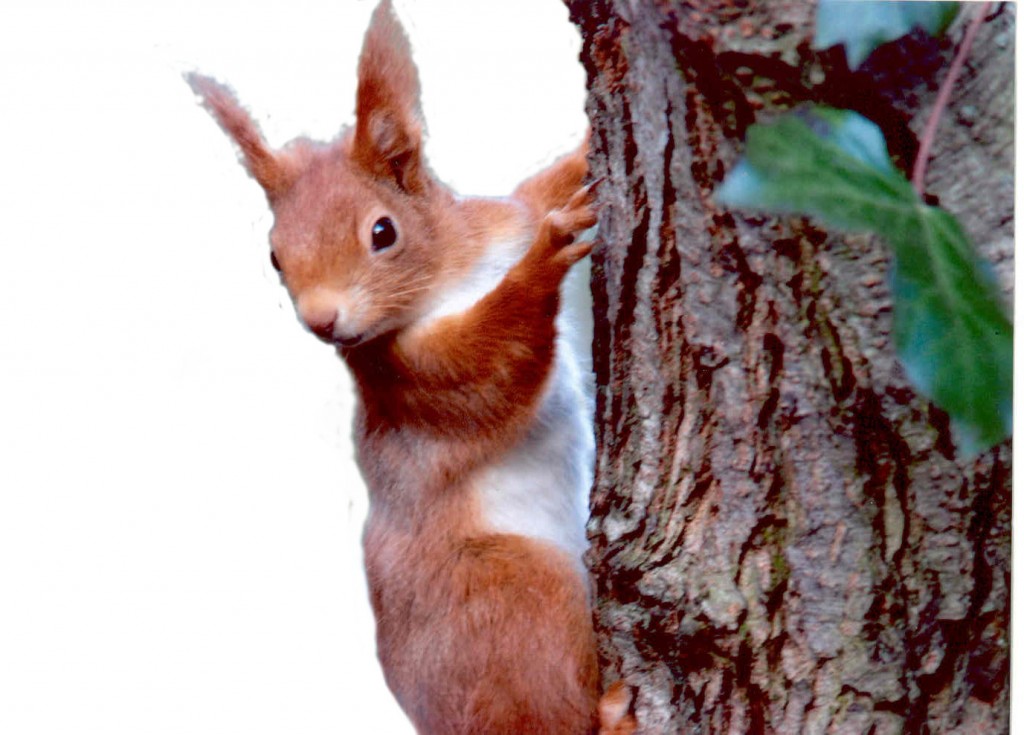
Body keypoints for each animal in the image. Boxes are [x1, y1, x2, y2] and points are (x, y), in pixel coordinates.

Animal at [187, 2, 634, 733]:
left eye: (383, 231)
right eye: (275, 255)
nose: (322, 320)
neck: (452, 270)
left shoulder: (509, 215)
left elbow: (547, 188)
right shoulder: (409, 376)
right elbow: (489, 364)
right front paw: (543, 263)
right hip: (515, 598)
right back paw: (617, 713)